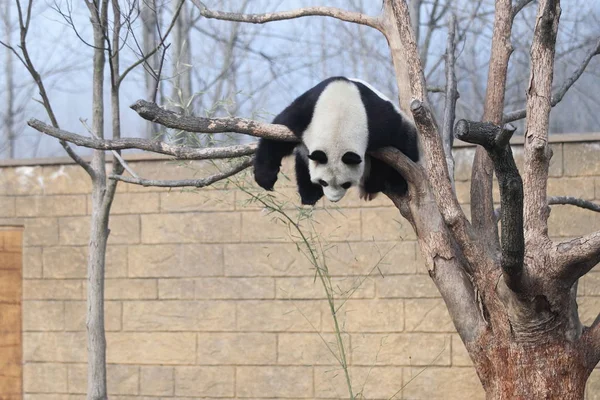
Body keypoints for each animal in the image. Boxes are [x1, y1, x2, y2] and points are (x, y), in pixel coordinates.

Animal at [255, 76, 420, 205]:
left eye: (346, 184)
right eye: (323, 182)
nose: (333, 199)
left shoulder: (378, 122)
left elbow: (403, 143)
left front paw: (398, 183)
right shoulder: (306, 112)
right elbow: (276, 137)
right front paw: (266, 179)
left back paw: (373, 185)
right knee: (303, 160)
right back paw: (309, 194)